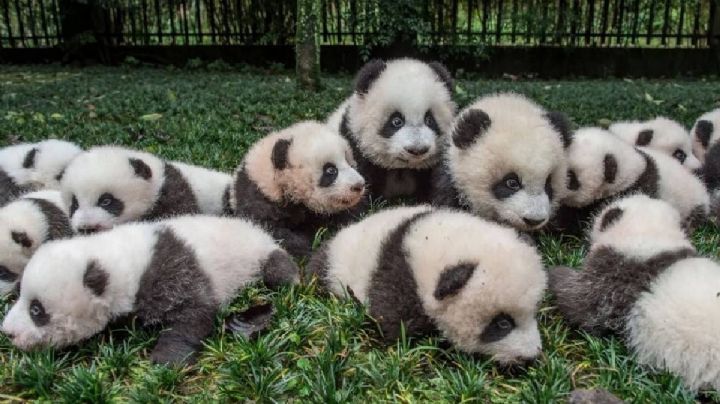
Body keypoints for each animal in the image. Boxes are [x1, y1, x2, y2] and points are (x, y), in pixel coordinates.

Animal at [1, 215, 299, 366]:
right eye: (18, 295)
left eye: (36, 310)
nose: (8, 333)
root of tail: (256, 229)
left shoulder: (171, 270)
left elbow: (195, 311)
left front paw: (165, 360)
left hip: (256, 253)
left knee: (277, 268)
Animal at [231, 121, 365, 258]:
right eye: (331, 170)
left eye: (350, 163)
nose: (359, 185)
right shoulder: (258, 199)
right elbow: (272, 231)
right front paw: (307, 247)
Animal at [307, 206, 547, 365]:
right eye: (502, 324)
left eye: (534, 312)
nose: (531, 356)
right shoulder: (399, 279)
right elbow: (393, 324)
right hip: (336, 267)